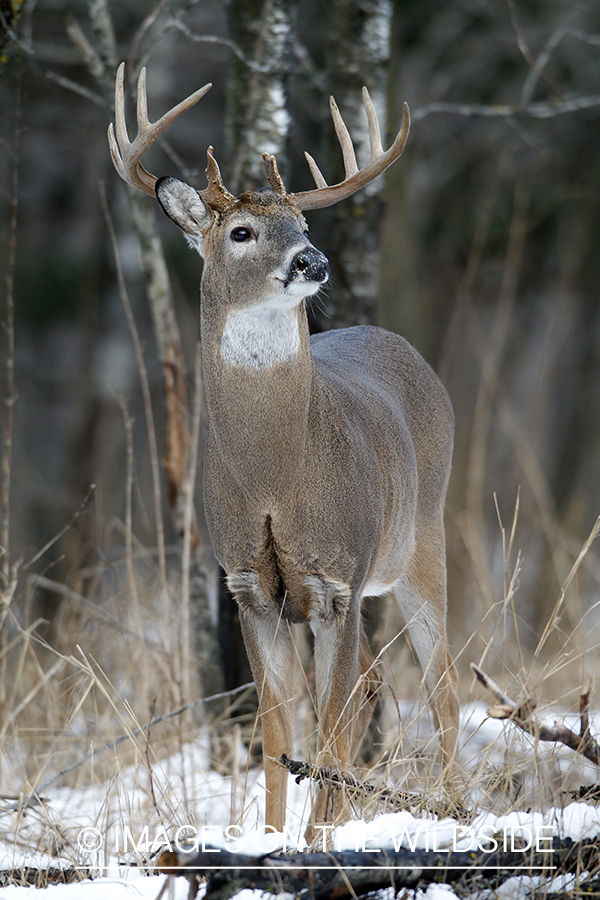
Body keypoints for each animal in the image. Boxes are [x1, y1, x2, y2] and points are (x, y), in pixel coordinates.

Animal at [108, 61, 460, 836]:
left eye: (302, 223)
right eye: (242, 231)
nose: (313, 259)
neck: (274, 476)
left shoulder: (339, 581)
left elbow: (326, 727)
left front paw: (317, 837)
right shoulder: (248, 585)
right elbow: (276, 731)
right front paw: (270, 838)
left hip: (422, 542)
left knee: (440, 685)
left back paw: (450, 810)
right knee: (375, 689)